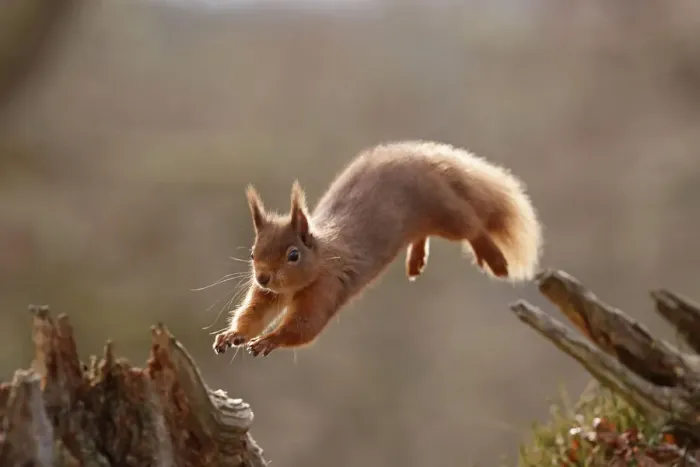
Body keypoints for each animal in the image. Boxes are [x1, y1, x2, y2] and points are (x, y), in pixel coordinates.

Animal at [213, 140, 543, 357]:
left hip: (442, 210)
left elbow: (305, 327)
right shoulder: (266, 295)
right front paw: (233, 335)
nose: (263, 277)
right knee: (425, 233)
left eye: (293, 255)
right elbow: (252, 315)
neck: (319, 260)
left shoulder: (326, 287)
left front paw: (269, 340)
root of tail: (421, 156)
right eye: (252, 254)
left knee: (472, 226)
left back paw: (495, 258)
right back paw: (416, 260)